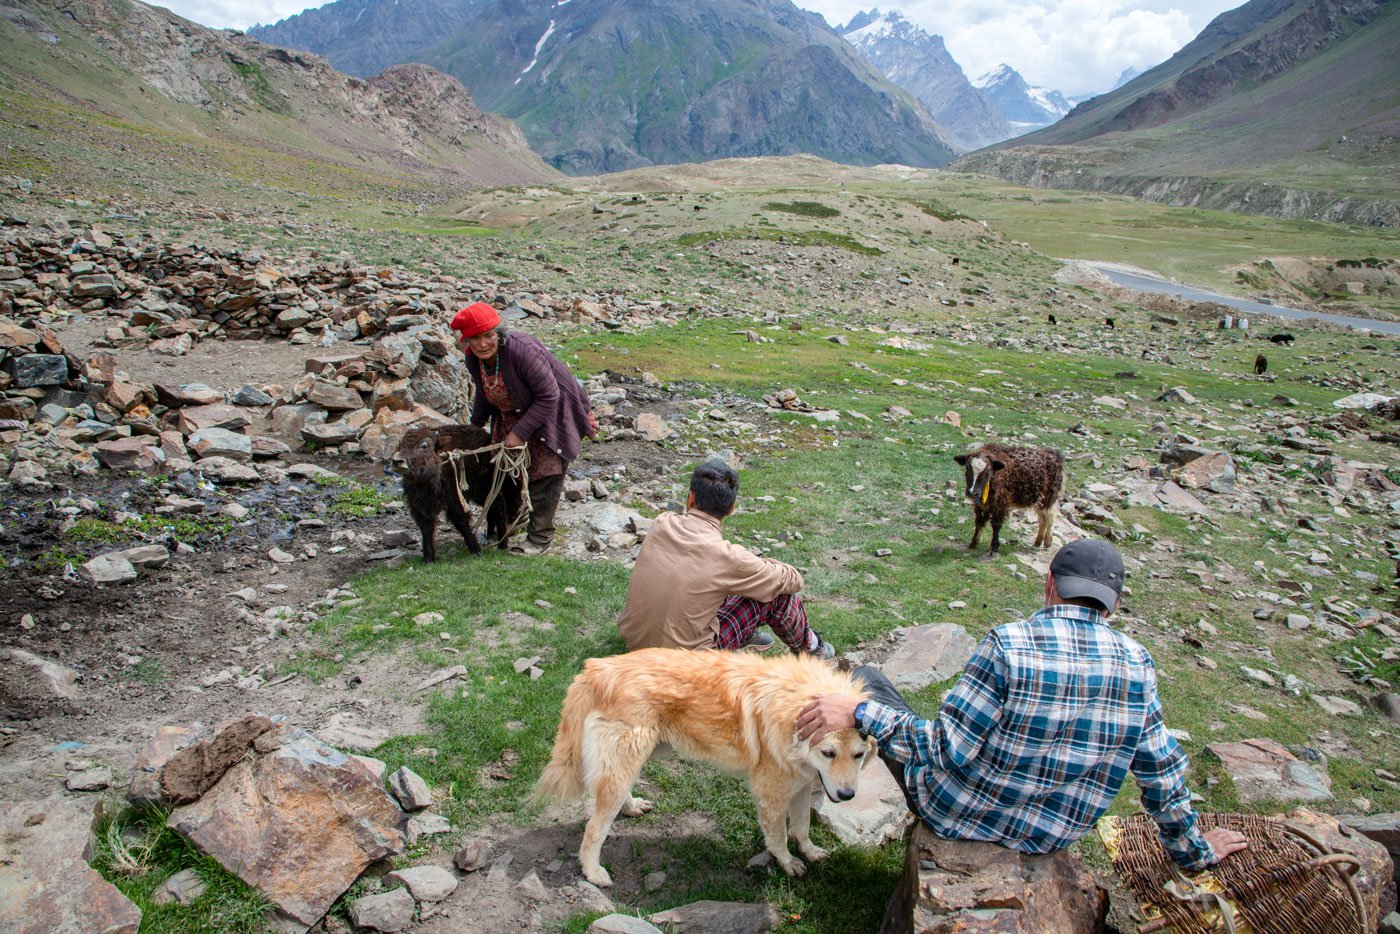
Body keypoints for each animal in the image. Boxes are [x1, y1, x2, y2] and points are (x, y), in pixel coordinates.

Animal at [394, 422, 526, 562]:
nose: (397, 461)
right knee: (494, 508)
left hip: (486, 490)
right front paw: (428, 559)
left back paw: (502, 544)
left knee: (498, 508)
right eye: (401, 445)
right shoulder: (421, 507)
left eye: (424, 445)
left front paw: (476, 550)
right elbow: (426, 529)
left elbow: (461, 522)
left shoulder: (455, 501)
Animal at [534, 646, 873, 890]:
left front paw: (811, 852)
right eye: (828, 753)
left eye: (859, 755)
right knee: (594, 828)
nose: (847, 795)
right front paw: (788, 863)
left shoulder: (801, 785)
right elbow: (778, 837)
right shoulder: (771, 795)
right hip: (625, 762)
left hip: (636, 758)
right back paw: (593, 873)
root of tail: (595, 669)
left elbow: (801, 827)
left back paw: (630, 808)